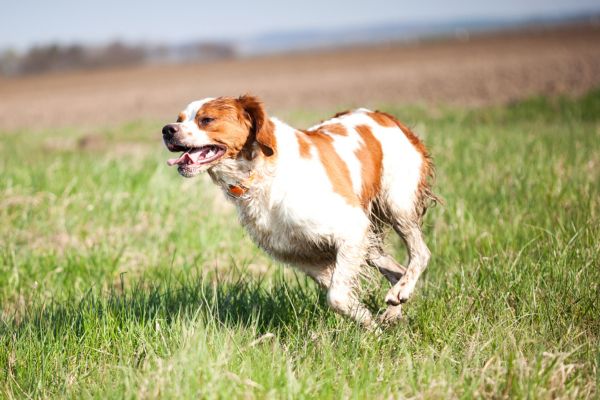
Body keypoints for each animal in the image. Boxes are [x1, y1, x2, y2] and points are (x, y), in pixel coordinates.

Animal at [163, 95, 436, 326]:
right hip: (371, 242)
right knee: (397, 270)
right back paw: (394, 311)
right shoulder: (303, 254)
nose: (167, 130)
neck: (261, 172)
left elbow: (336, 296)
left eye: (206, 120)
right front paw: (371, 322)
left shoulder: (352, 227)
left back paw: (400, 293)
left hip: (397, 205)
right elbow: (339, 293)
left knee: (421, 253)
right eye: (179, 119)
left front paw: (372, 330)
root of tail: (386, 117)